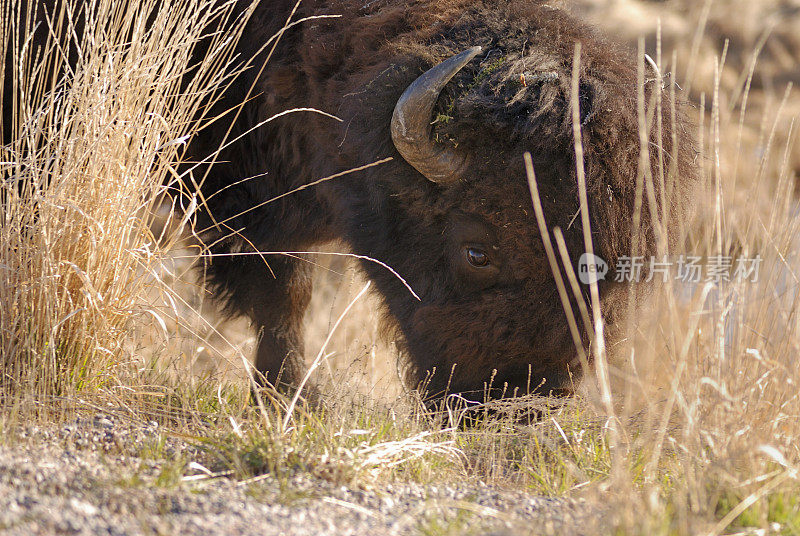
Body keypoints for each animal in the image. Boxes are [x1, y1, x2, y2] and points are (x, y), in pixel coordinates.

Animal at [6, 0, 696, 402]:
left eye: (625, 264)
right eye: (477, 250)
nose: (521, 398)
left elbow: (286, 295)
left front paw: (284, 398)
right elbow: (282, 297)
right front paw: (291, 398)